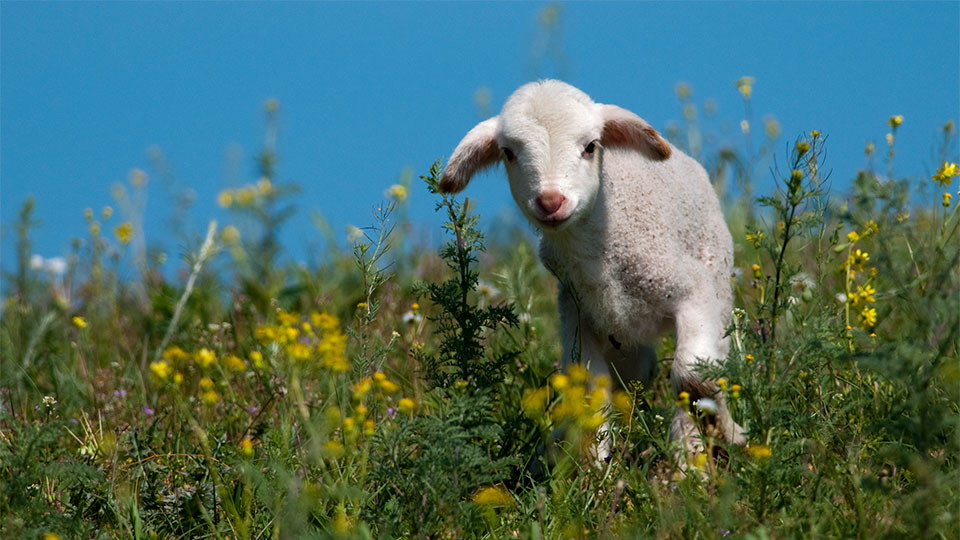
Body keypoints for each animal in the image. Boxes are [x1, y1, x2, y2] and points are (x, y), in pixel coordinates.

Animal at [439, 80, 745, 459]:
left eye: (590, 147)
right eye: (508, 153)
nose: (550, 201)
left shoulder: (693, 289)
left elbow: (693, 379)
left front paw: (717, 440)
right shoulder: (579, 318)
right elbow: (589, 399)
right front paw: (594, 468)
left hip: (717, 280)